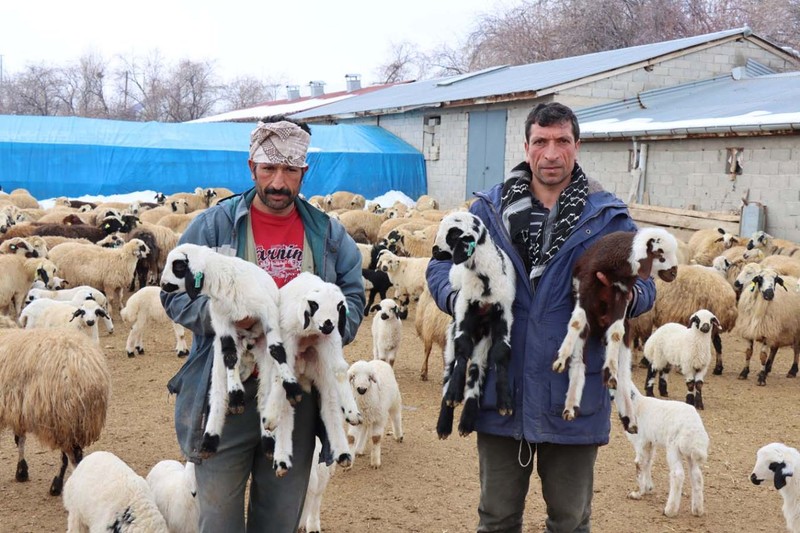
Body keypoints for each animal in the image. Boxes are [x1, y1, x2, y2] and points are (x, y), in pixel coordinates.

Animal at [0, 326, 110, 496]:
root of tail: (86, 370)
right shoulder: (18, 411)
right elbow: (20, 439)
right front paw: (22, 471)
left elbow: (19, 439)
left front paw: (21, 471)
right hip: (71, 423)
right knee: (68, 457)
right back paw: (57, 485)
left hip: (63, 417)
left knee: (73, 457)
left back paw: (60, 485)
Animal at [159, 244, 304, 458]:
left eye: (178, 266)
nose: (162, 285)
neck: (224, 282)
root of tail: (250, 345)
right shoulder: (222, 324)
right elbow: (230, 357)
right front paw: (236, 396)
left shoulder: (267, 313)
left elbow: (277, 350)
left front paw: (292, 388)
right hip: (218, 354)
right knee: (218, 394)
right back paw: (210, 440)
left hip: (263, 356)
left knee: (264, 396)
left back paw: (268, 442)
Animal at [428, 210, 516, 438]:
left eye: (452, 234)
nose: (434, 251)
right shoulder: (463, 312)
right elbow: (462, 349)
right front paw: (453, 394)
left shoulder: (504, 314)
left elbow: (501, 352)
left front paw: (505, 402)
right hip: (451, 336)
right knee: (449, 369)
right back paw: (444, 423)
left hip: (484, 341)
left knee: (476, 371)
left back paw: (466, 421)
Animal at [552, 225, 680, 432]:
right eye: (660, 254)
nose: (674, 273)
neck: (619, 268)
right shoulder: (586, 285)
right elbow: (576, 322)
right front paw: (561, 358)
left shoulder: (622, 295)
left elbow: (616, 334)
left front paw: (610, 370)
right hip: (587, 328)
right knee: (579, 363)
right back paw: (570, 406)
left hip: (627, 333)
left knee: (624, 374)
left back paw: (628, 415)